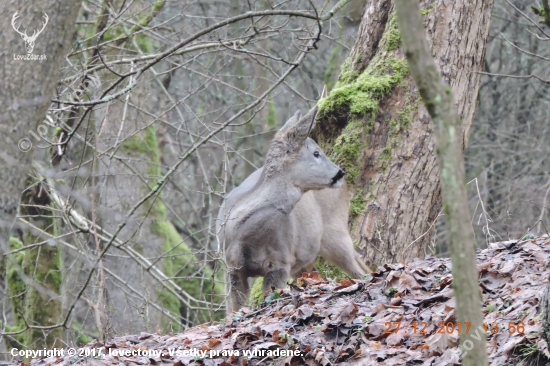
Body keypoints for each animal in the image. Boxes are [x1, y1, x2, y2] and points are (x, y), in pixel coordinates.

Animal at [218, 105, 368, 312]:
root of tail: (346, 189)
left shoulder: (281, 261)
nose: (340, 173)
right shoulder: (231, 267)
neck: (247, 236)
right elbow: (233, 311)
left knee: (360, 271)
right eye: (316, 153)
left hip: (335, 232)